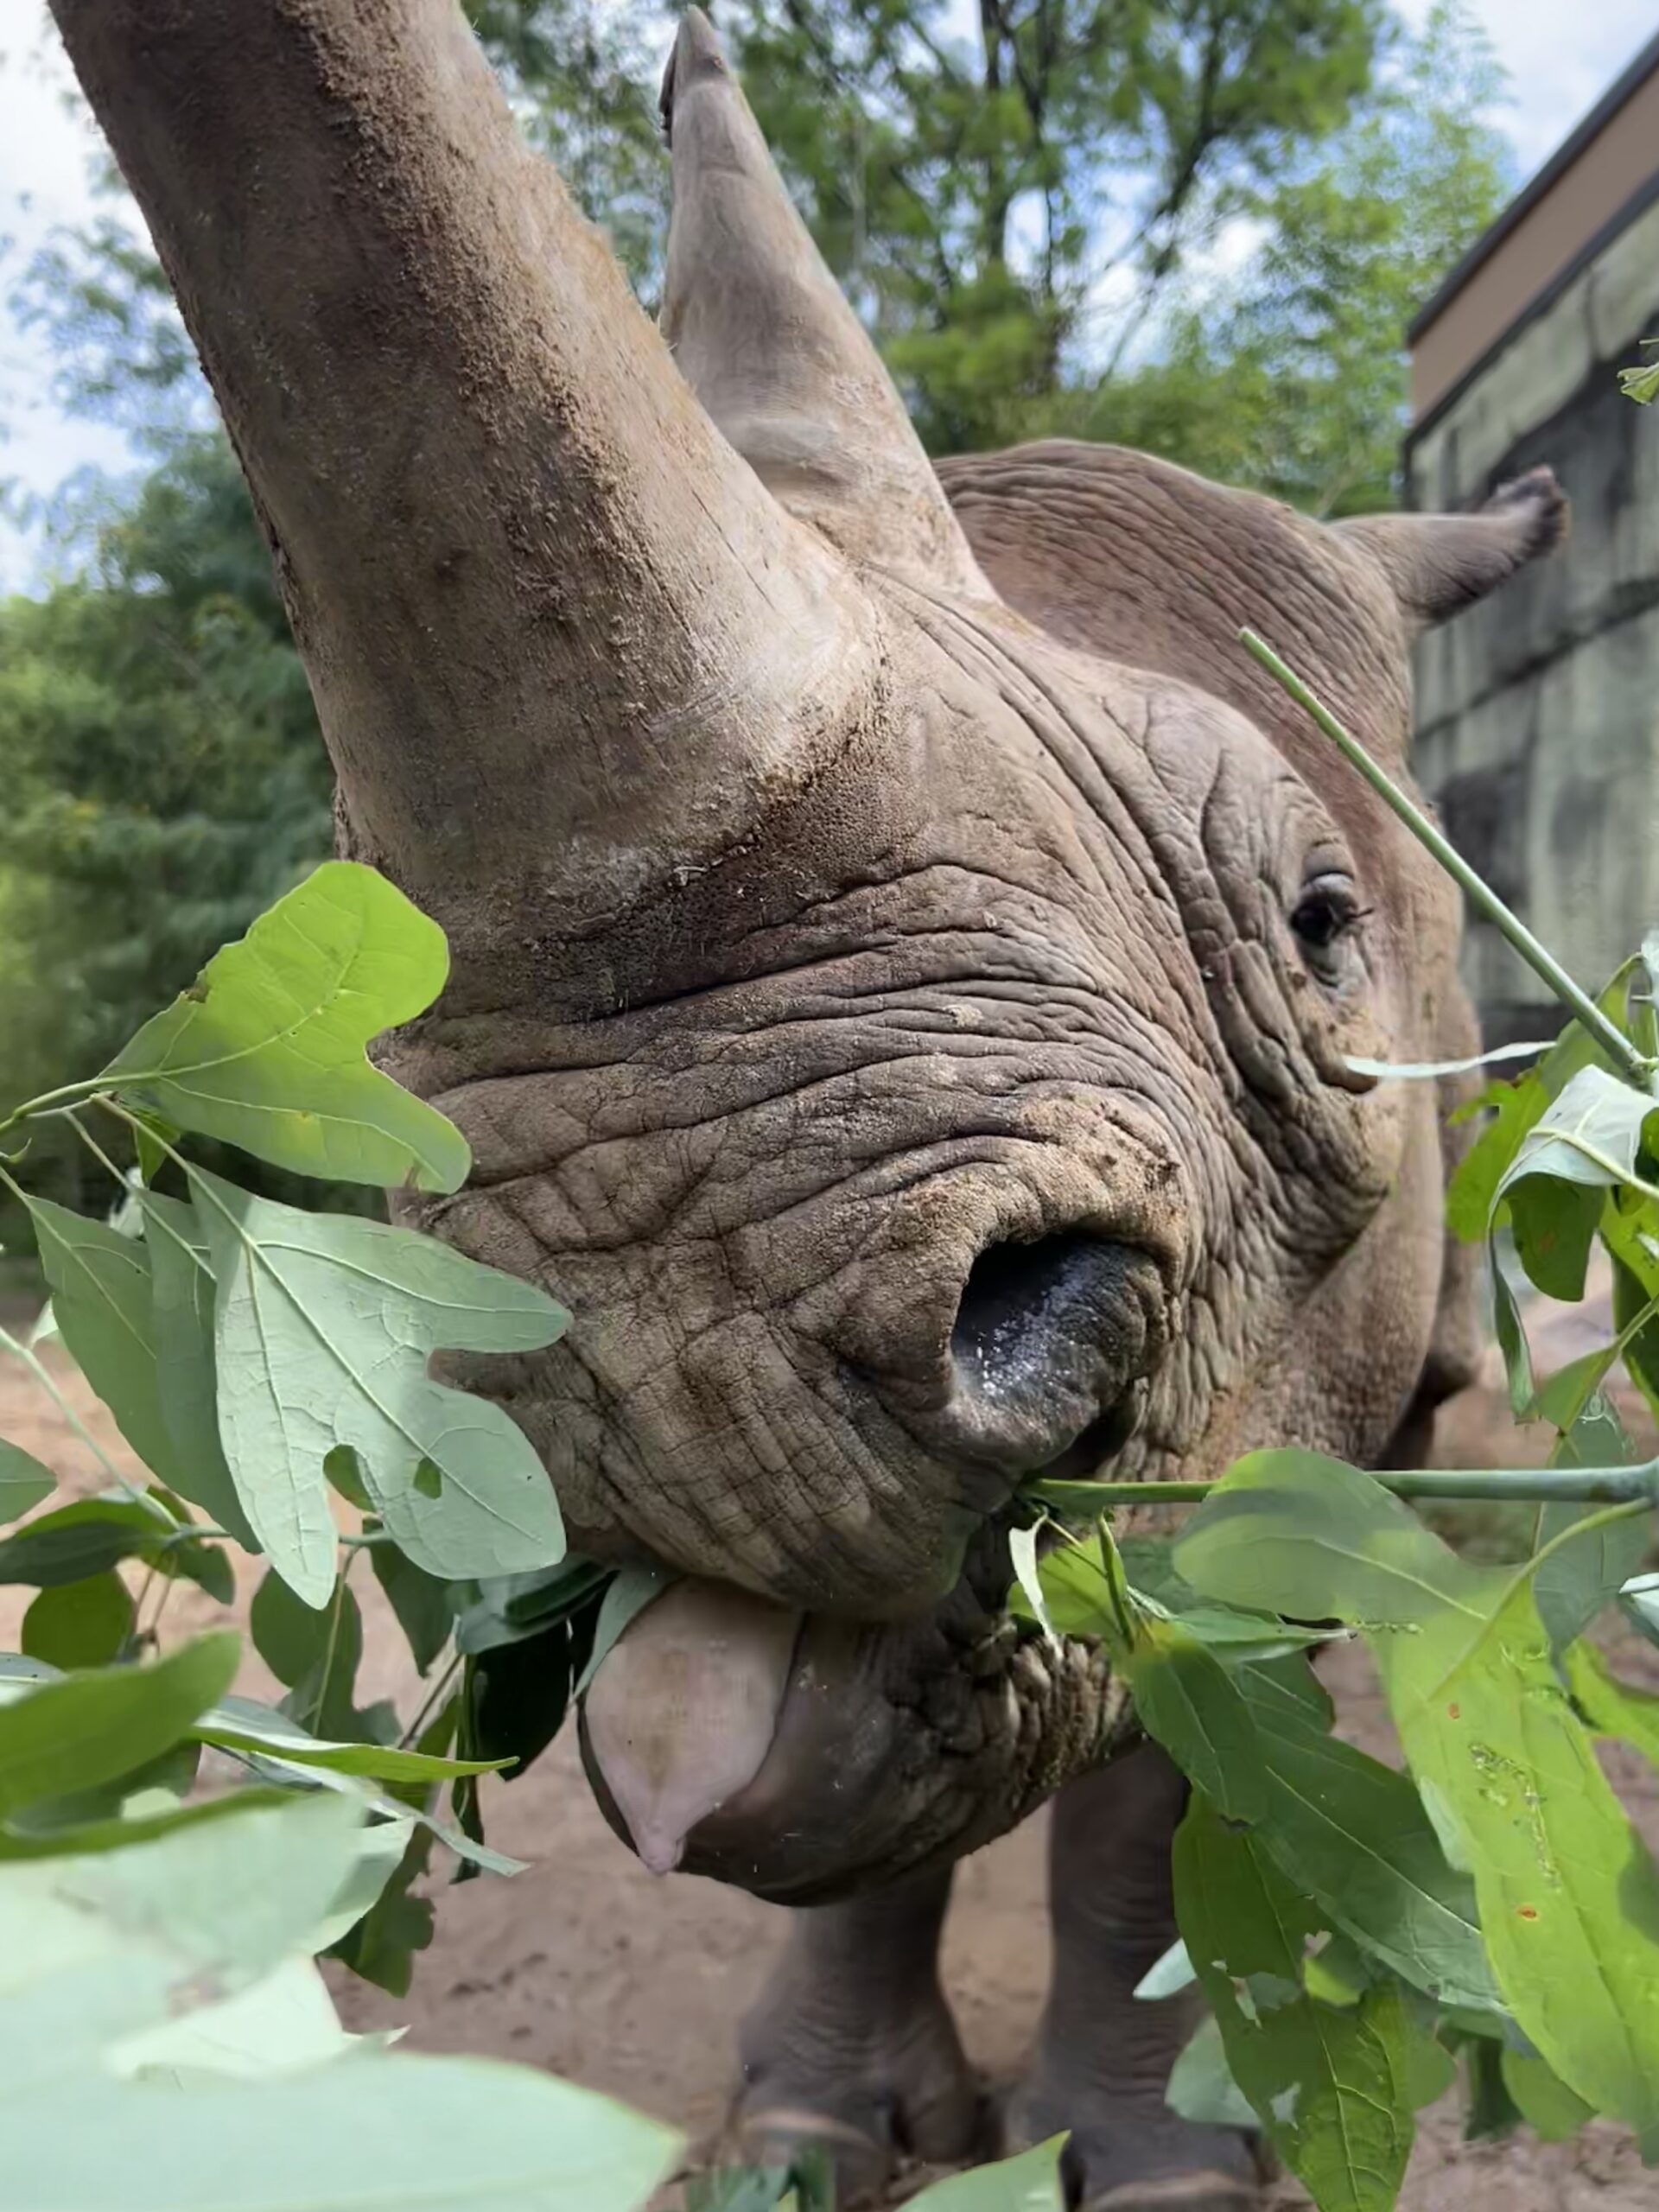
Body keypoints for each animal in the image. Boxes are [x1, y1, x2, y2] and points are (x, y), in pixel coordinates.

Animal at [52, 1, 1566, 2203]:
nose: (644, 1338)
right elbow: (844, 1805)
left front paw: (1169, 2158)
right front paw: (811, 2132)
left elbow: (1179, 1735)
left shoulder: (1342, 1353)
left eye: (1323, 926)